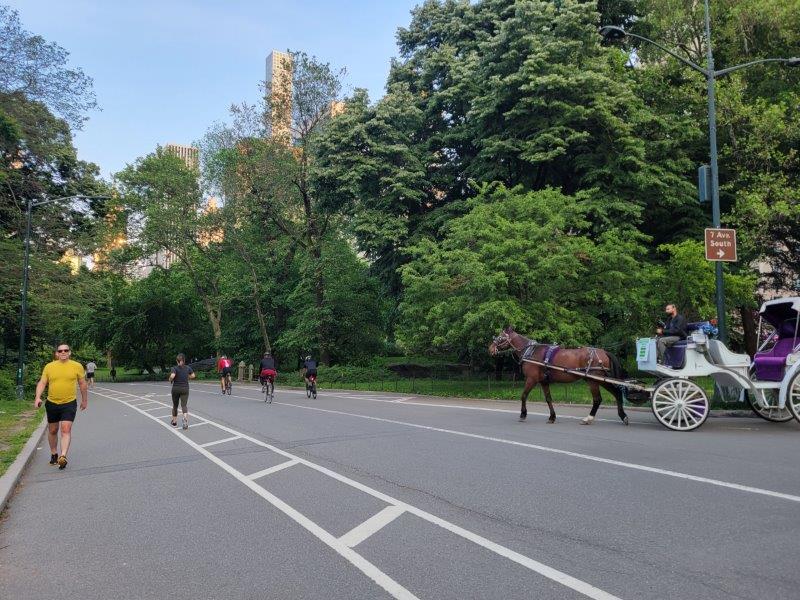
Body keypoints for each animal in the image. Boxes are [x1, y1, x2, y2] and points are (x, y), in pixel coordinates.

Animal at [488, 326, 632, 424]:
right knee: (616, 393)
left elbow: (523, 396)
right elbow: (548, 399)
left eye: (500, 337)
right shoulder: (544, 381)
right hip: (601, 379)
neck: (531, 352)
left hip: (593, 380)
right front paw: (552, 417)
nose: (490, 349)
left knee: (597, 399)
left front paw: (523, 414)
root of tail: (604, 352)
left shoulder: (531, 379)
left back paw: (589, 418)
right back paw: (623, 416)